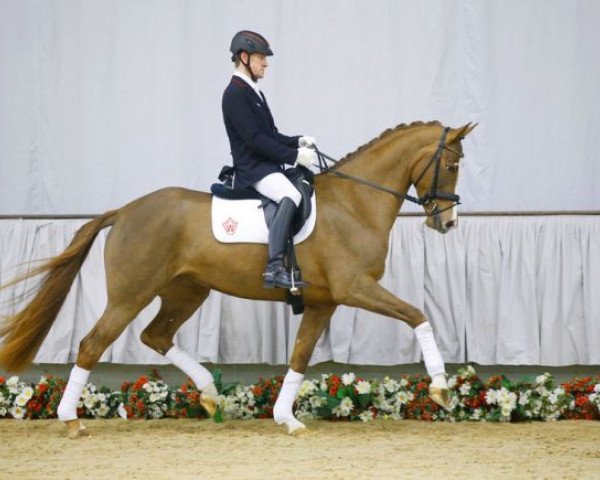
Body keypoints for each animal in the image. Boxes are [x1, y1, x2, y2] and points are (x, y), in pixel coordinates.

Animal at [0, 119, 474, 436]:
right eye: (452, 166)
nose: (447, 223)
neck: (355, 203)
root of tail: (126, 210)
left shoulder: (323, 302)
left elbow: (299, 357)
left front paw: (286, 418)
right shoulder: (355, 288)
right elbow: (417, 315)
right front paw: (440, 388)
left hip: (187, 291)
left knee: (155, 336)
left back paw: (211, 393)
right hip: (130, 295)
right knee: (92, 343)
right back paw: (70, 420)